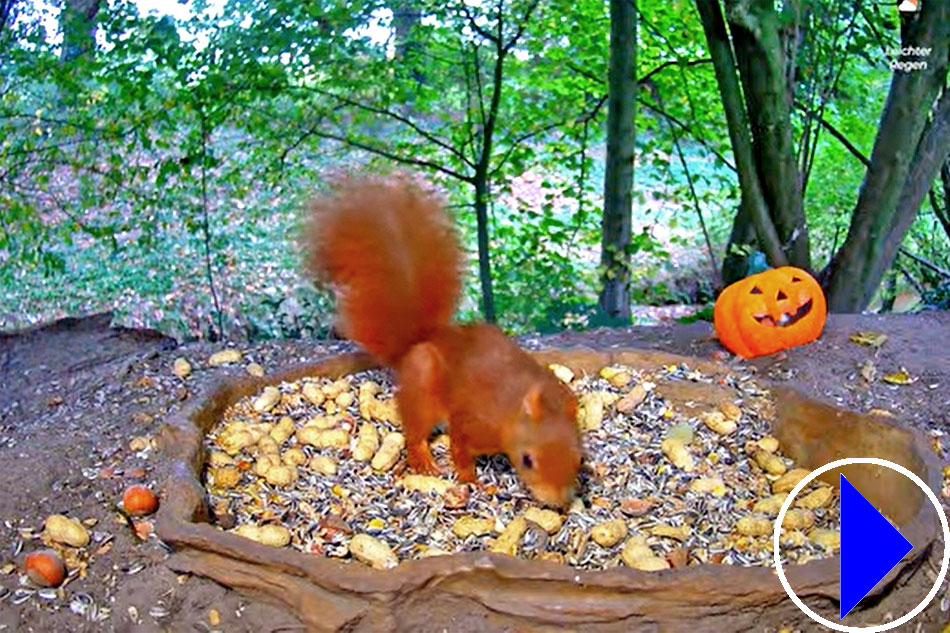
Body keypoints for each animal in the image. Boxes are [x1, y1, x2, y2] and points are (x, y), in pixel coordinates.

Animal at [308, 175, 584, 506]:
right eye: (527, 460)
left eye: (580, 459)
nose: (557, 503)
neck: (514, 408)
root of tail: (418, 343)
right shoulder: (473, 424)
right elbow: (461, 450)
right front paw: (471, 480)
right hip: (423, 387)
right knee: (415, 432)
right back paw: (422, 461)